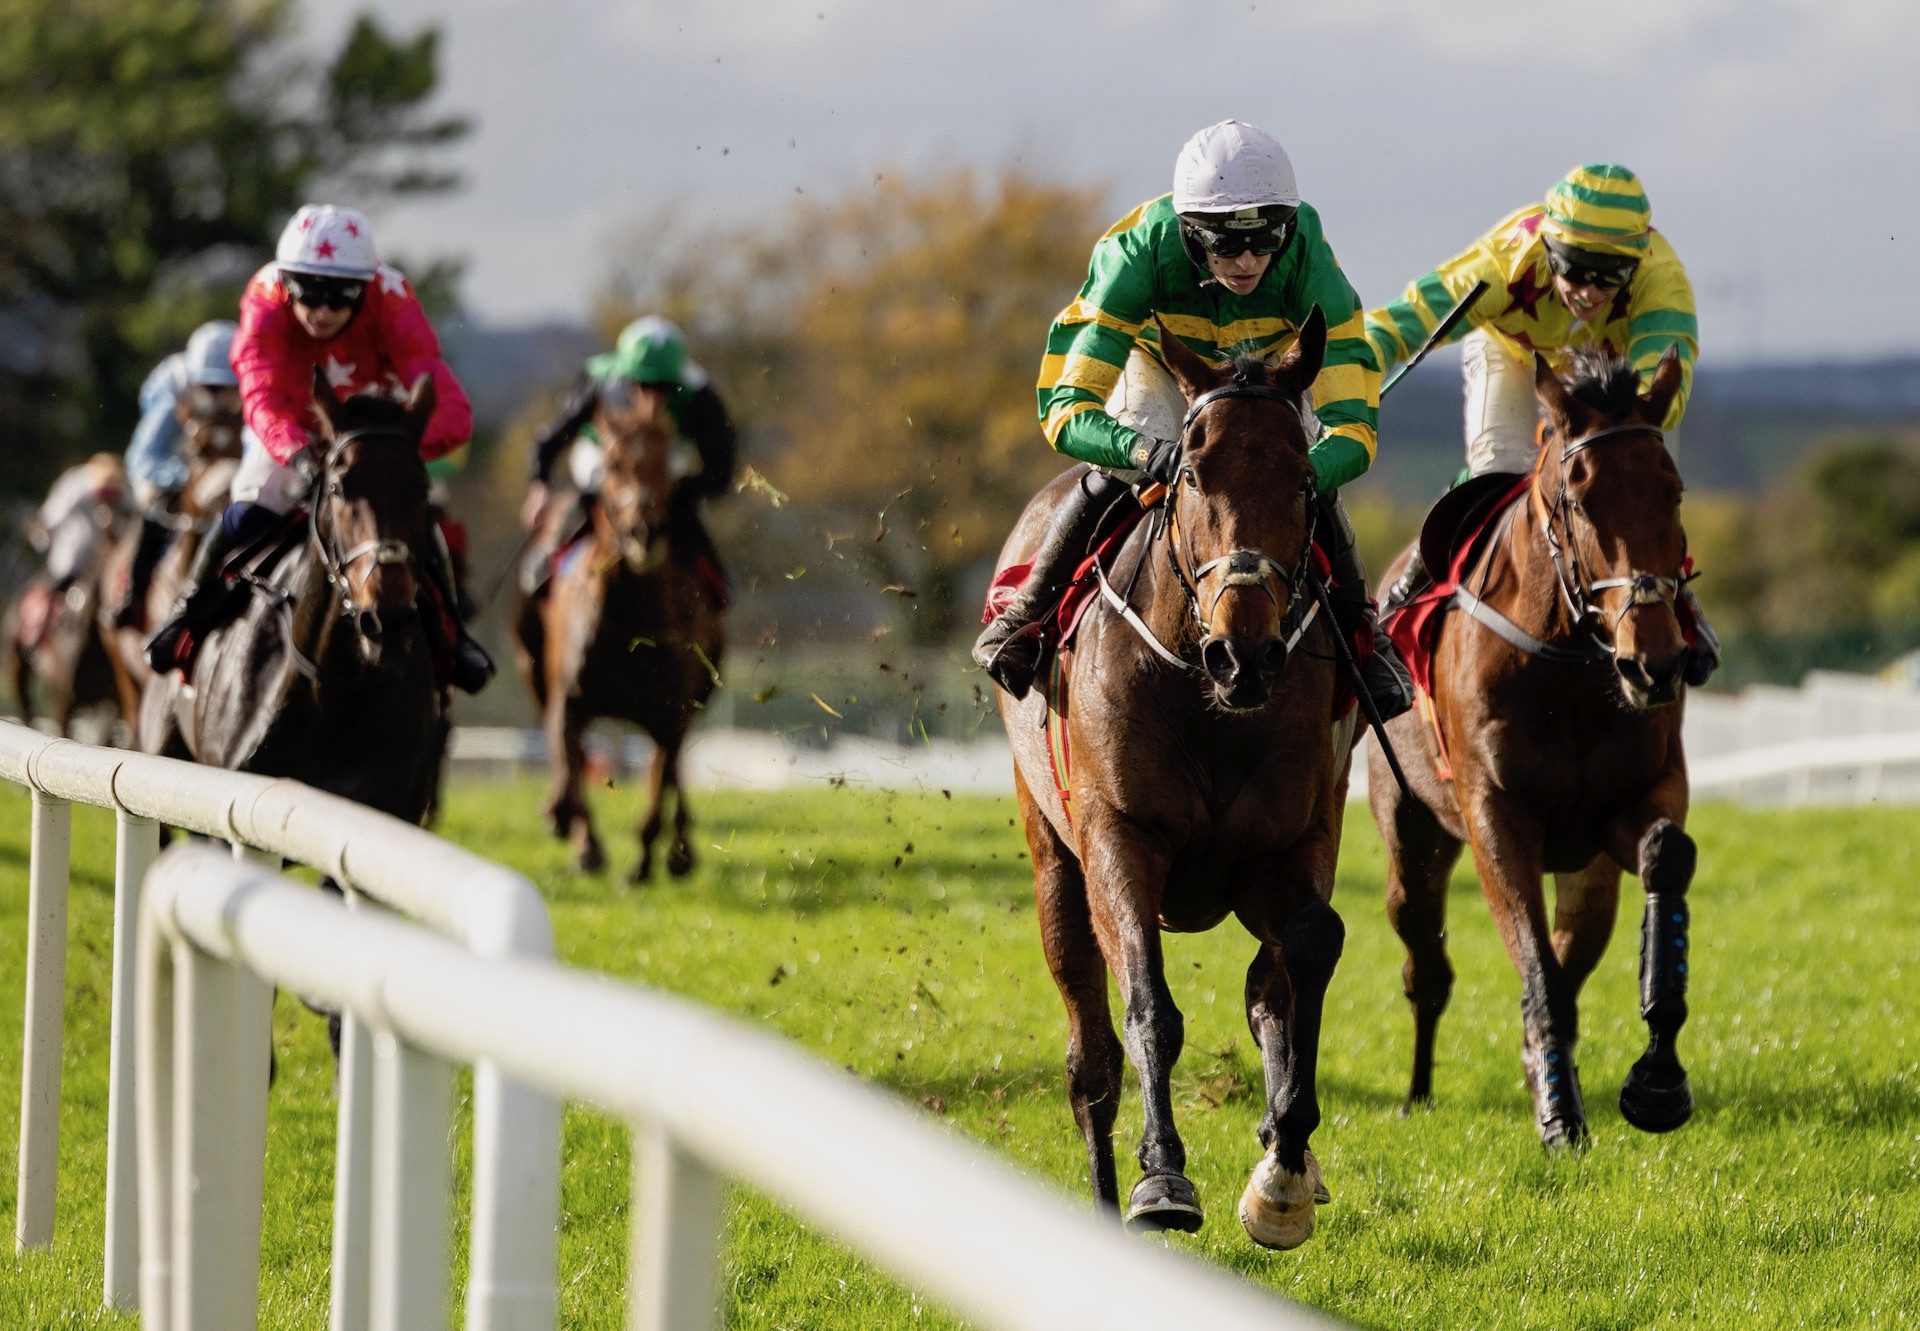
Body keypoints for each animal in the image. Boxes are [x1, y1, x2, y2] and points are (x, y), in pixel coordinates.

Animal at [514, 374, 721, 883]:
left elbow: (660, 781)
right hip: (531, 662)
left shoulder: (671, 710)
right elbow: (569, 763)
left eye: (667, 463)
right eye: (612, 464)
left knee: (672, 773)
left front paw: (646, 860)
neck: (630, 617)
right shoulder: (569, 698)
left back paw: (680, 852)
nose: (644, 530)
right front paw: (578, 836)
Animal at [998, 309, 1359, 1244]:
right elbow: (1148, 1009)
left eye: (1306, 478)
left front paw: (1283, 1165)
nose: (1247, 654)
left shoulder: (1296, 839)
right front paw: (1162, 1176)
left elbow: (1307, 952)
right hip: (1053, 861)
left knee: (1270, 982)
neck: (1207, 699)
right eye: (1192, 471)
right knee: (1090, 1057)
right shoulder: (1120, 837)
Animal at [1367, 347, 1697, 1144]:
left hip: (1587, 870)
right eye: (1579, 499)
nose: (1656, 664)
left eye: (1672, 491)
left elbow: (1665, 859)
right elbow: (1536, 964)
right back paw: (1419, 1092)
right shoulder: (1494, 814)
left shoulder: (1640, 794)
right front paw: (1560, 1116)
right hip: (1410, 830)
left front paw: (1657, 1080)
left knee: (1577, 945)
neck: (1567, 666)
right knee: (1425, 960)